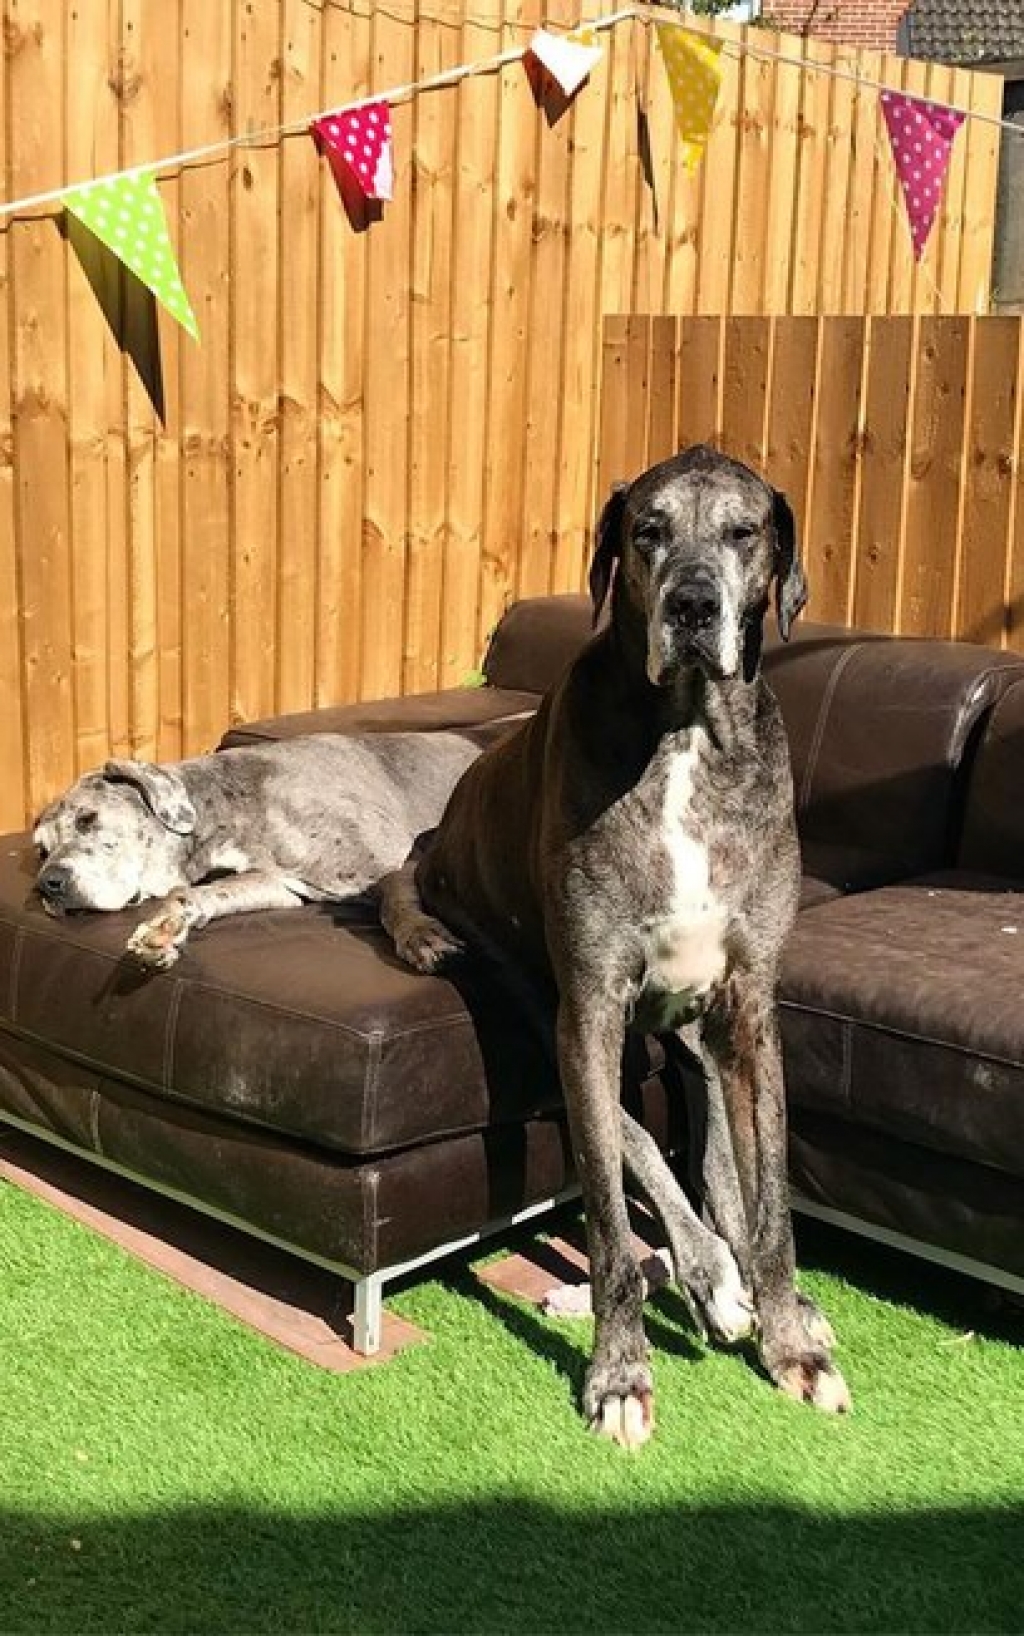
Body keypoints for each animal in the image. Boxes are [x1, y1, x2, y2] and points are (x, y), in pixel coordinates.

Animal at [32, 732, 494, 968]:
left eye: (88, 818)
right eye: (41, 849)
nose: (46, 885)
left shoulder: (391, 860)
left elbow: (395, 902)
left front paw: (421, 935)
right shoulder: (276, 884)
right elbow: (199, 893)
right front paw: (164, 929)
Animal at [381, 444, 844, 1446]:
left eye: (744, 531)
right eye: (648, 531)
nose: (694, 606)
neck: (686, 735)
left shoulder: (750, 1006)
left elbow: (769, 1197)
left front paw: (791, 1338)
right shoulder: (588, 1007)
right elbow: (606, 1210)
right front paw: (620, 1373)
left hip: (692, 1026)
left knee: (709, 1152)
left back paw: (736, 1275)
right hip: (549, 1006)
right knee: (635, 1143)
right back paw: (703, 1272)